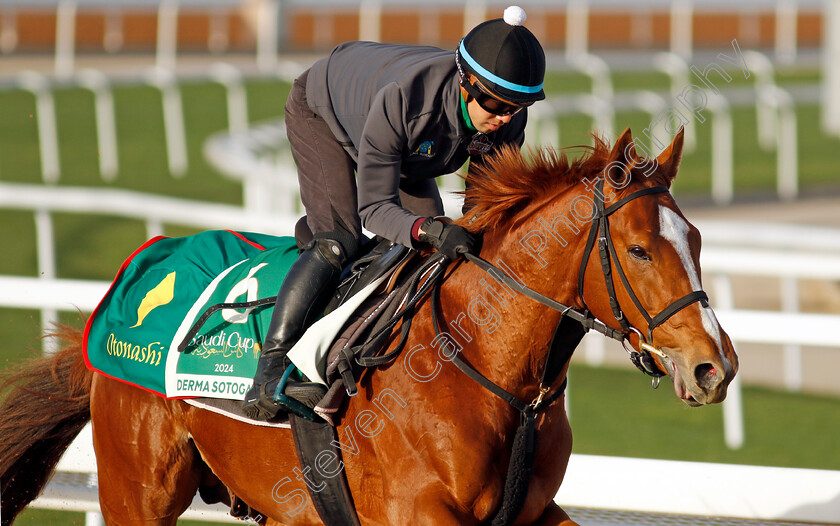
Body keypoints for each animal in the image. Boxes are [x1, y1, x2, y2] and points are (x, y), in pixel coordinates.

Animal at [0, 129, 736, 526]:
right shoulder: (417, 512)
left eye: (698, 239)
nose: (714, 367)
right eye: (640, 250)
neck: (483, 365)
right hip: (138, 490)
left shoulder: (531, 511)